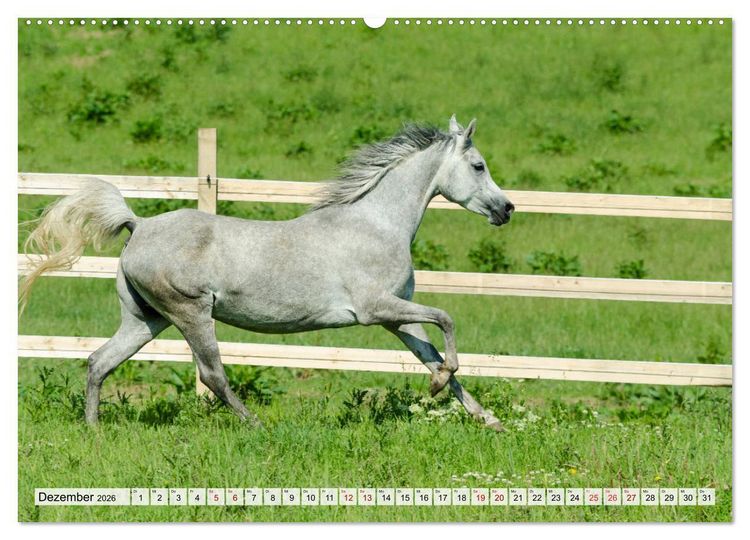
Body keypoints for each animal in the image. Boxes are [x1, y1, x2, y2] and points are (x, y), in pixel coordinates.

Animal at [20, 115, 515, 431]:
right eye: (479, 166)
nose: (506, 209)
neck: (375, 223)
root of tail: (138, 225)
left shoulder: (398, 316)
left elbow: (431, 353)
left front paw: (486, 418)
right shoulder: (377, 309)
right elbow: (447, 320)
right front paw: (441, 385)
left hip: (146, 319)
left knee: (99, 361)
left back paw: (94, 431)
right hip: (191, 313)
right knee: (212, 375)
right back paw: (256, 426)